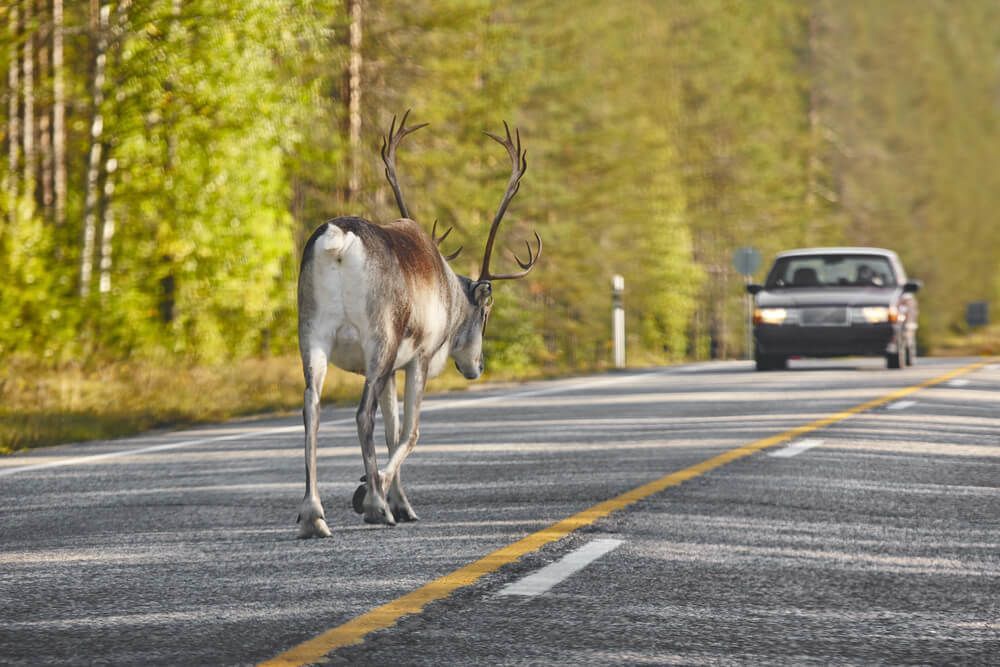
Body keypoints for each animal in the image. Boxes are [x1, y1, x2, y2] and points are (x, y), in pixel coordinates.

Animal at [296, 111, 540, 537]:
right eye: (486, 312)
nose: (477, 367)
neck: (450, 292)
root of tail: (338, 242)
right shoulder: (419, 356)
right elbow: (410, 432)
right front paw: (372, 493)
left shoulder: (394, 368)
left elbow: (393, 431)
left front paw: (399, 501)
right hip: (379, 338)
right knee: (362, 414)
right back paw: (374, 506)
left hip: (312, 334)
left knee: (312, 407)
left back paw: (313, 515)